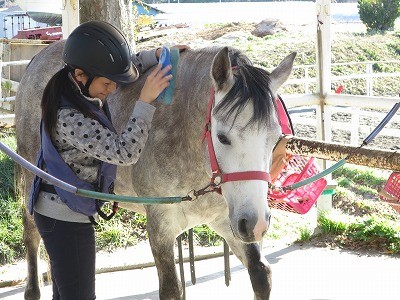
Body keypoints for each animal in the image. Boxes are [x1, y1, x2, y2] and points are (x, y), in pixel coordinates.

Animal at [14, 40, 296, 300]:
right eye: (223, 137)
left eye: (275, 139)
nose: (256, 224)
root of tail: (39, 57)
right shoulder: (161, 228)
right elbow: (171, 289)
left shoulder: (228, 220)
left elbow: (260, 273)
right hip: (34, 179)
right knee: (32, 231)